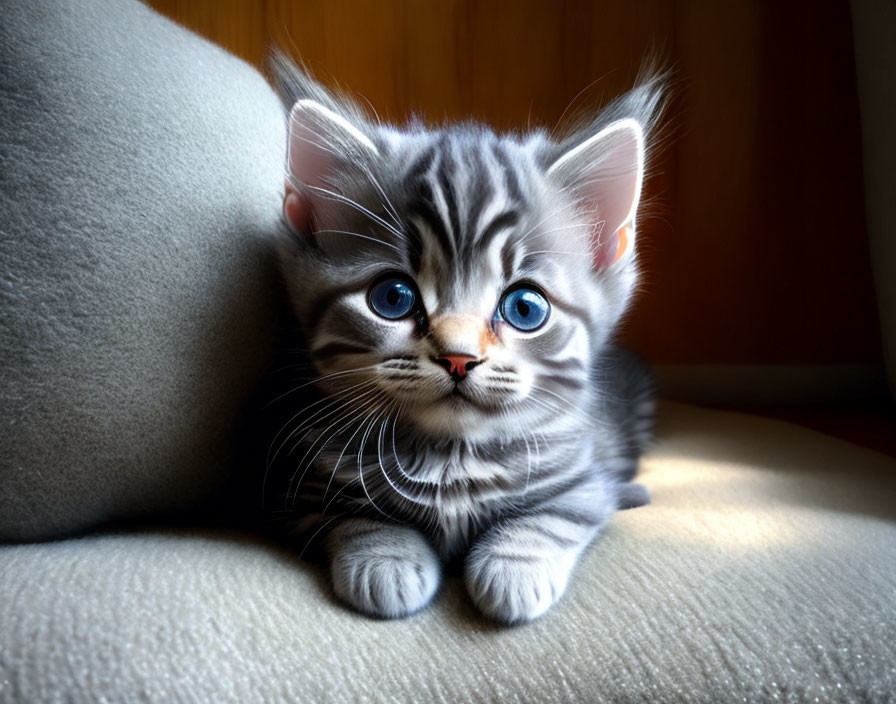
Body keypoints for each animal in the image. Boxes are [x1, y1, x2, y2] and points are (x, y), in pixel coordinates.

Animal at [256, 55, 660, 620]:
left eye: (526, 308)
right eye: (393, 298)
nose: (458, 358)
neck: (452, 457)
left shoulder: (585, 477)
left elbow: (555, 515)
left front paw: (515, 567)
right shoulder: (300, 490)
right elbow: (354, 518)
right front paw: (386, 559)